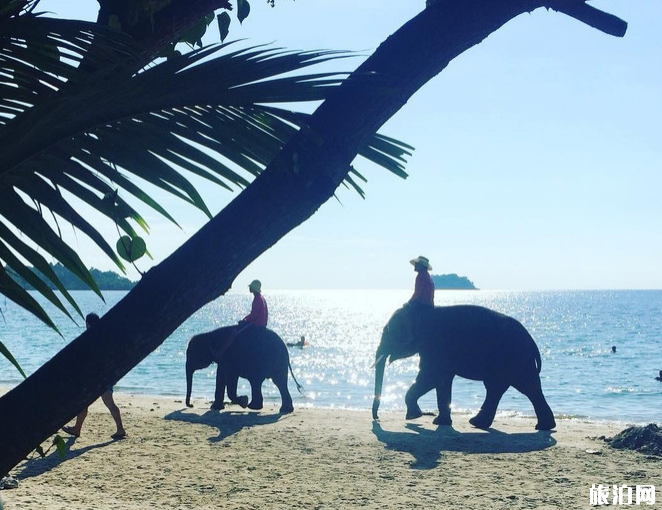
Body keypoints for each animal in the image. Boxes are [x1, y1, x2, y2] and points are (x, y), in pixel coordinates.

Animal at [374, 302, 556, 430]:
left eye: (388, 331)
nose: (377, 418)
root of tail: (531, 340)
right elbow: (441, 380)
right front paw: (438, 422)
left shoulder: (436, 345)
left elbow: (430, 378)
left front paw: (415, 417)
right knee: (497, 389)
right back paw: (478, 423)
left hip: (517, 359)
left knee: (527, 387)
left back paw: (543, 426)